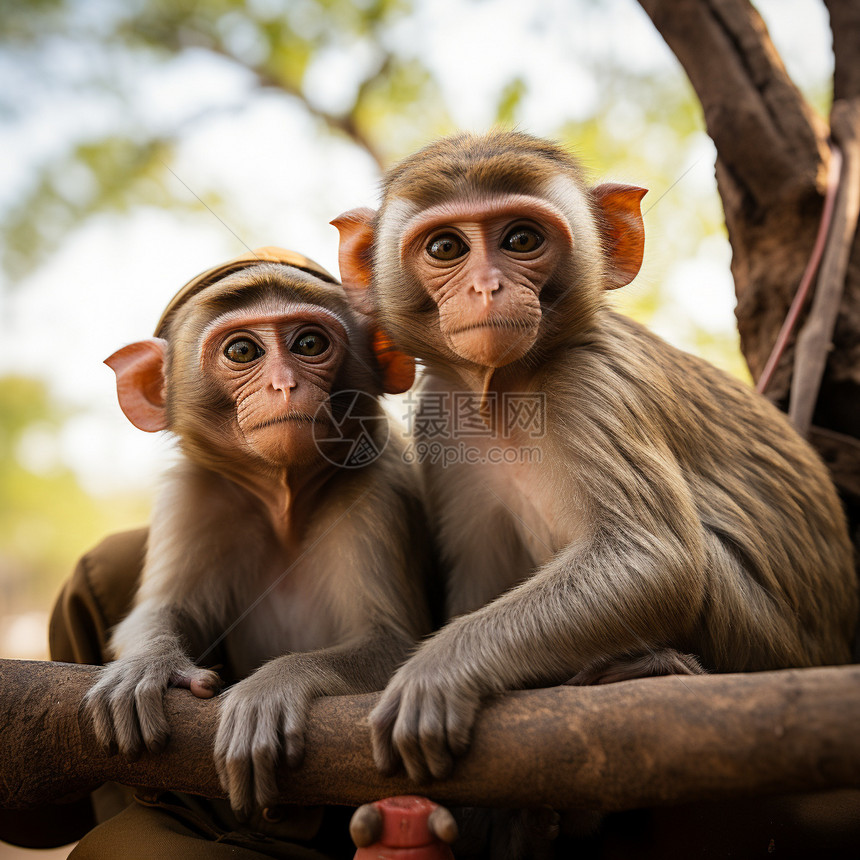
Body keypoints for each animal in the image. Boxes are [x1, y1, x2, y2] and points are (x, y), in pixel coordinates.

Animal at [85, 245, 434, 816]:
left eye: (310, 344)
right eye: (243, 350)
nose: (284, 385)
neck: (283, 500)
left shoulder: (376, 483)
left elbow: (392, 643)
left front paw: (270, 688)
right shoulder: (195, 493)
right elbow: (164, 608)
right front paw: (146, 665)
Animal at [330, 129, 860, 788]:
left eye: (521, 239)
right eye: (446, 247)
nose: (486, 287)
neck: (511, 388)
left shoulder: (591, 383)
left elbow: (653, 560)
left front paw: (438, 668)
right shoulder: (440, 412)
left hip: (766, 646)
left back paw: (654, 667)